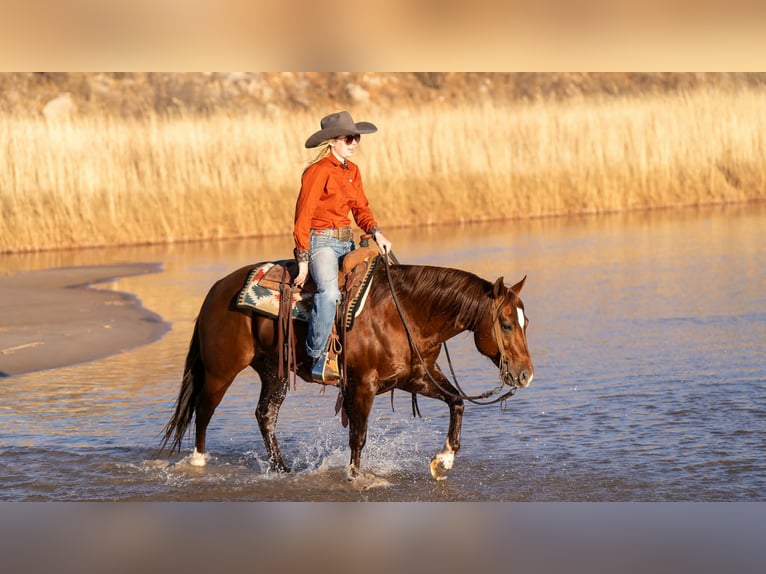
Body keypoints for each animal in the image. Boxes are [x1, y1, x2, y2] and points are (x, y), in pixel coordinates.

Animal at [160, 257, 534, 481]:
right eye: (505, 323)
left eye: (525, 321)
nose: (525, 374)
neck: (404, 313)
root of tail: (216, 290)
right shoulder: (362, 385)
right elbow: (358, 435)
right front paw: (355, 477)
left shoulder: (414, 377)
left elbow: (456, 402)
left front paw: (443, 461)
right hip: (221, 370)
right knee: (204, 410)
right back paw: (198, 461)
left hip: (273, 372)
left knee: (265, 414)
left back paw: (282, 468)